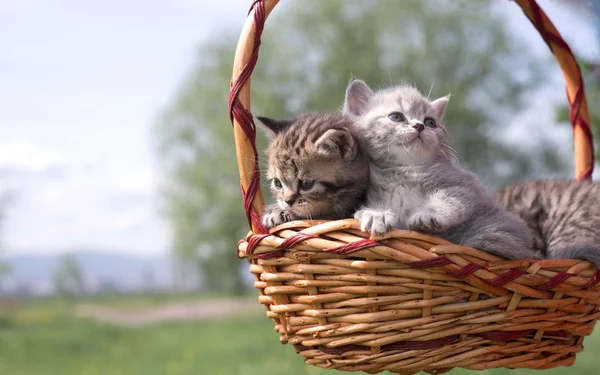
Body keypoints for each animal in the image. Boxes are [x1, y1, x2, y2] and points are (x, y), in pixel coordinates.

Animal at [342, 79, 540, 262]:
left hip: (498, 229)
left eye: (430, 122)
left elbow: (451, 201)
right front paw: (377, 215)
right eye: (396, 117)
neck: (406, 170)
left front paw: (428, 215)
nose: (420, 126)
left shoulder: (466, 187)